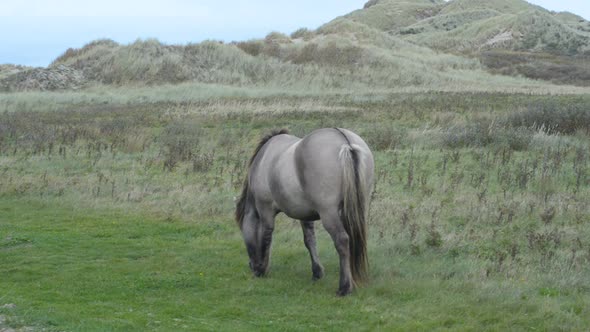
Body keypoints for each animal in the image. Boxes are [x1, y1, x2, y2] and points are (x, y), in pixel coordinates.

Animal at [235, 127, 374, 296]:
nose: (252, 266)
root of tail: (345, 141)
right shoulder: (304, 215)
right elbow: (309, 240)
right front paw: (317, 272)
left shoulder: (264, 209)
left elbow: (266, 236)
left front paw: (262, 269)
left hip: (329, 213)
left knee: (342, 240)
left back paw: (344, 287)